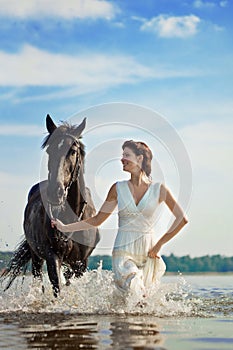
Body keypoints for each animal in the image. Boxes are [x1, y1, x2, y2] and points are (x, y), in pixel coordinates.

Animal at [1, 115, 100, 296]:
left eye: (72, 151)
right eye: (49, 151)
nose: (55, 191)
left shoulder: (81, 263)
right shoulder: (52, 256)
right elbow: (56, 286)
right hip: (36, 256)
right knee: (38, 278)